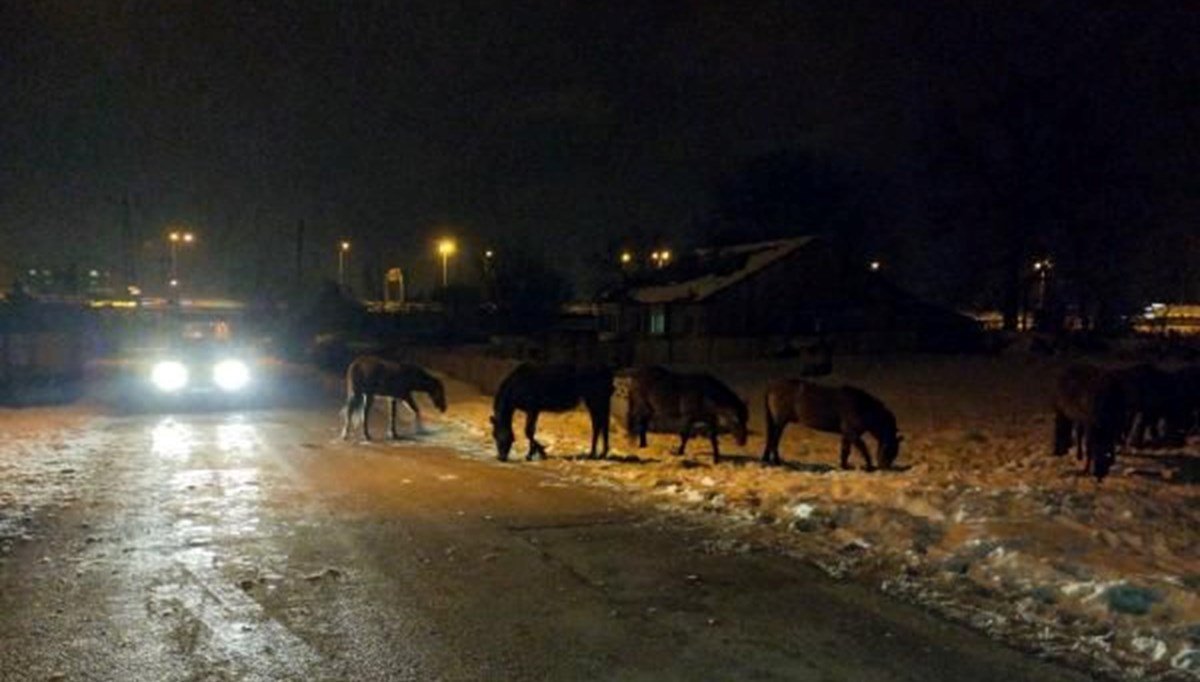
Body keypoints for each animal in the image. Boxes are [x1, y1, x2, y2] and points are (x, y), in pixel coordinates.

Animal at [758, 381, 902, 470]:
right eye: (890, 450)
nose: (884, 468)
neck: (861, 407)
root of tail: (772, 387)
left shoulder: (846, 434)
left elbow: (845, 451)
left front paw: (843, 467)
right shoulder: (852, 433)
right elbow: (863, 448)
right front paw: (870, 466)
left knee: (771, 439)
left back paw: (767, 459)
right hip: (780, 422)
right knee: (774, 440)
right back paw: (776, 461)